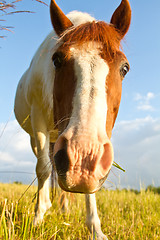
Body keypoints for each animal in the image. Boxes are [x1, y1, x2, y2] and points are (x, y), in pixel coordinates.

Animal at [13, 0, 131, 238]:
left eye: (125, 68)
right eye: (56, 60)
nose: (81, 157)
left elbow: (91, 183)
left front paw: (95, 228)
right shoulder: (38, 121)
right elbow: (43, 169)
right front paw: (38, 218)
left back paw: (63, 208)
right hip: (39, 138)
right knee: (46, 167)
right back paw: (47, 206)